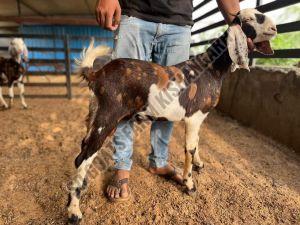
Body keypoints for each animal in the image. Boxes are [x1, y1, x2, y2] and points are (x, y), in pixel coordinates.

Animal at [67, 8, 276, 223]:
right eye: (250, 19)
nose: (274, 28)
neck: (211, 68)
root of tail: (97, 74)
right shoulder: (193, 117)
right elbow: (189, 149)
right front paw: (189, 185)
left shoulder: (200, 118)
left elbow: (197, 142)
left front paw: (199, 164)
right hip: (107, 118)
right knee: (84, 157)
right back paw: (74, 212)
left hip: (94, 114)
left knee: (81, 150)